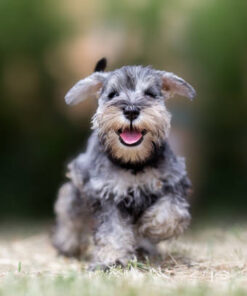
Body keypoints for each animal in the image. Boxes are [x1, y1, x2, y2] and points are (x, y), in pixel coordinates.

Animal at [52, 58, 195, 270]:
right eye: (113, 94)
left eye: (150, 94)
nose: (131, 110)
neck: (133, 163)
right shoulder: (107, 195)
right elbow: (113, 231)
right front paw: (113, 259)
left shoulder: (173, 182)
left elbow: (171, 213)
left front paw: (150, 227)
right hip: (76, 191)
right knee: (69, 212)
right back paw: (66, 243)